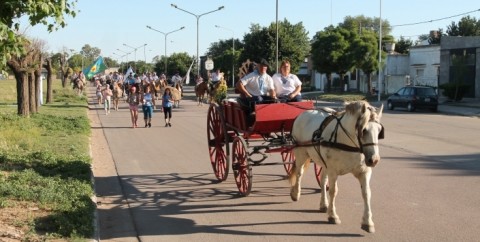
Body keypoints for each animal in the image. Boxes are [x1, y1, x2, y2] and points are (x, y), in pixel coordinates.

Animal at [288, 100, 386, 233]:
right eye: (364, 130)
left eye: (379, 130)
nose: (374, 160)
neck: (347, 141)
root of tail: (303, 114)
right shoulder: (333, 171)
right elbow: (333, 191)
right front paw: (333, 216)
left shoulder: (364, 172)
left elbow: (366, 193)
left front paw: (368, 222)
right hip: (301, 153)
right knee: (299, 173)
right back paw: (296, 193)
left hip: (323, 162)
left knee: (322, 180)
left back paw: (323, 204)